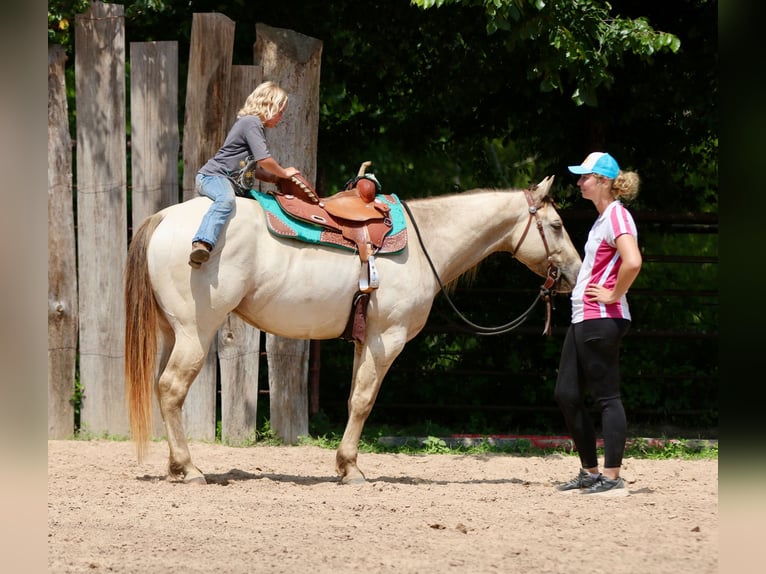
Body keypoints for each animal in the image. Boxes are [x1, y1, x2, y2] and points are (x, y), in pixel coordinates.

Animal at [124, 175, 582, 484]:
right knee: (171, 388)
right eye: (557, 225)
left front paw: (346, 464)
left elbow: (352, 399)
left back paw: (176, 467)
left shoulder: (366, 339)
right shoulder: (387, 339)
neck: (426, 245)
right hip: (195, 333)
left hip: (172, 332)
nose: (575, 274)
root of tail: (165, 217)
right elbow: (363, 401)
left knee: (162, 389)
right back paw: (188, 468)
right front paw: (350, 468)